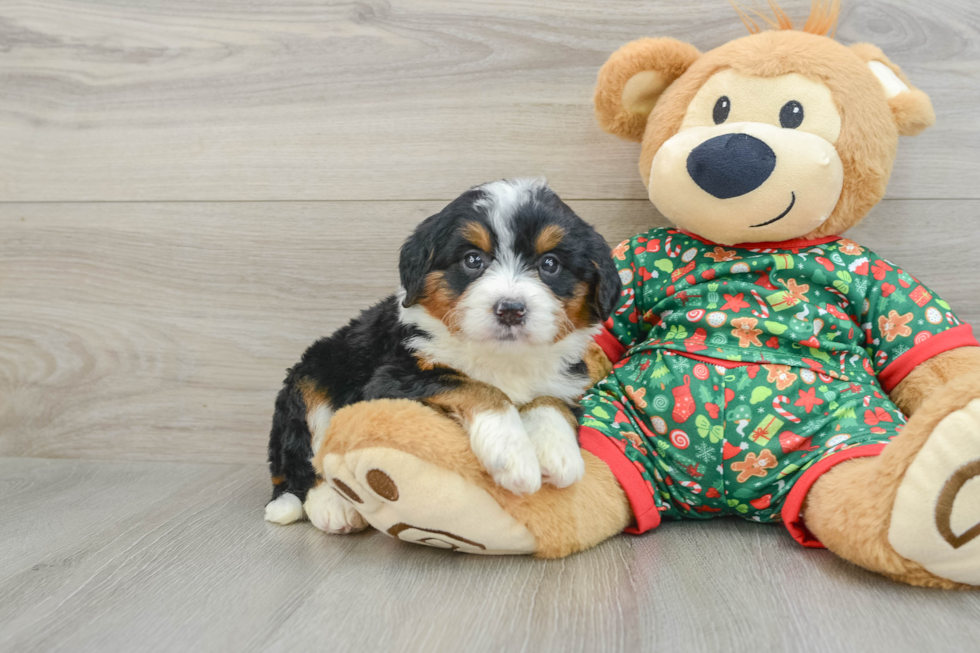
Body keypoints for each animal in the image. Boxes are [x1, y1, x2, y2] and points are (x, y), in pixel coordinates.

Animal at [262, 177, 620, 528]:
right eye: (473, 260)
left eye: (550, 264)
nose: (510, 309)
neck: (503, 357)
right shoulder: (392, 378)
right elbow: (477, 387)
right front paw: (512, 452)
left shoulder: (566, 379)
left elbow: (550, 400)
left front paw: (559, 452)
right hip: (310, 378)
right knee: (304, 462)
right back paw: (331, 505)